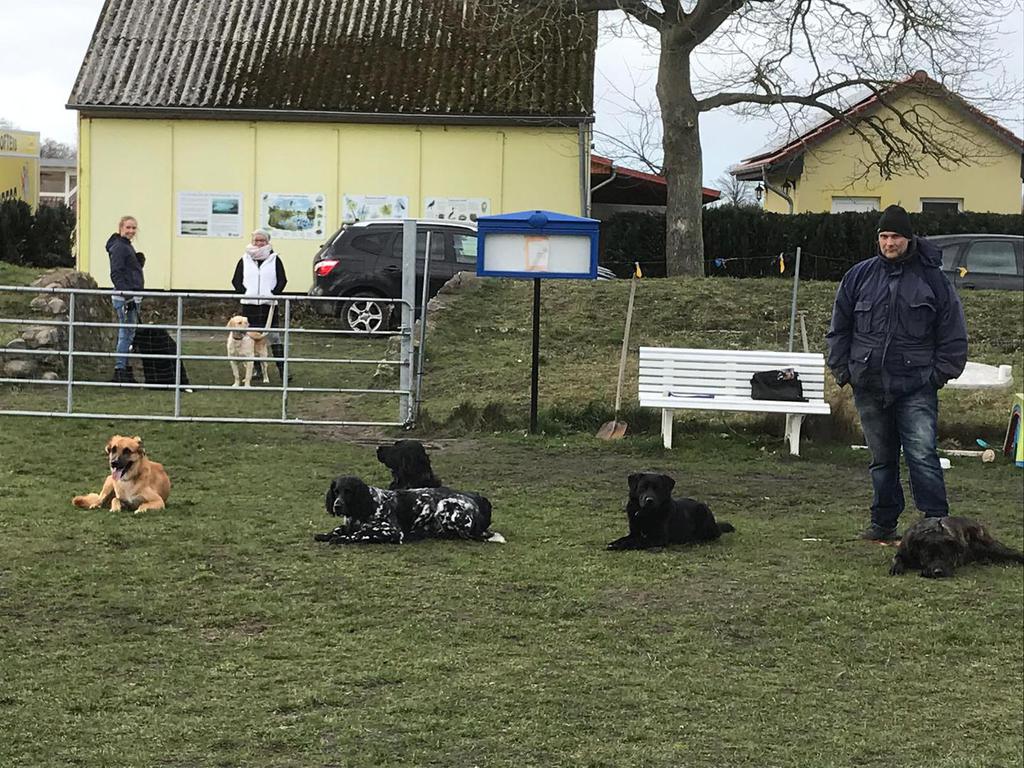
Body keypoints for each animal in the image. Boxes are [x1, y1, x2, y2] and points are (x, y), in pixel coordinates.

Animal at [314, 475, 503, 544]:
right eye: (336, 491)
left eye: (348, 491)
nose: (337, 505)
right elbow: (340, 529)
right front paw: (327, 534)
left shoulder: (392, 531)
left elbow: (360, 533)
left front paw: (342, 538)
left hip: (445, 505)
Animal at [890, 516, 1024, 578]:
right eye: (927, 556)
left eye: (945, 556)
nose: (938, 572)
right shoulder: (903, 550)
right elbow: (898, 559)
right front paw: (896, 568)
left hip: (990, 545)